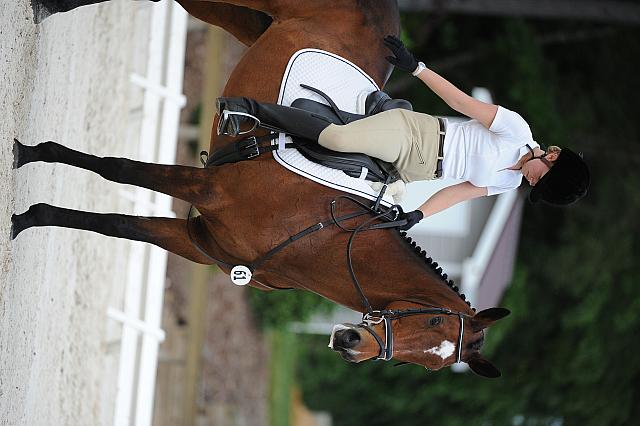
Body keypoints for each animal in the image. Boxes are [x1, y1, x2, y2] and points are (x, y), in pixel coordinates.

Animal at [11, 0, 510, 380]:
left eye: (427, 364)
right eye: (431, 317)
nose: (350, 343)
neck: (317, 234)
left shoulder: (198, 242)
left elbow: (117, 225)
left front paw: (31, 216)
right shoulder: (206, 187)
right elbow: (115, 168)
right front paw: (28, 160)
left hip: (249, 22)